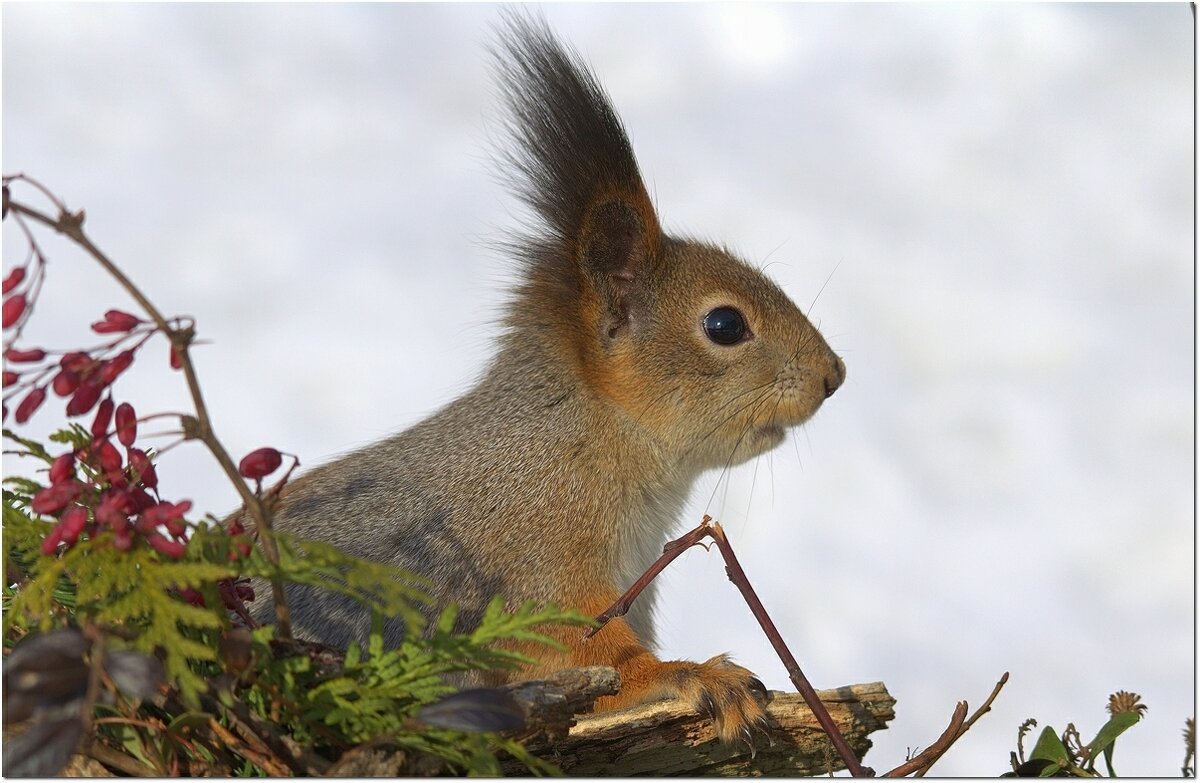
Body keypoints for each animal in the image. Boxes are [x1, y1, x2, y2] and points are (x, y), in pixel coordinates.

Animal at [246, 13, 844, 744]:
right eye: (725, 325)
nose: (834, 374)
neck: (589, 440)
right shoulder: (537, 565)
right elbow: (587, 655)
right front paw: (695, 675)